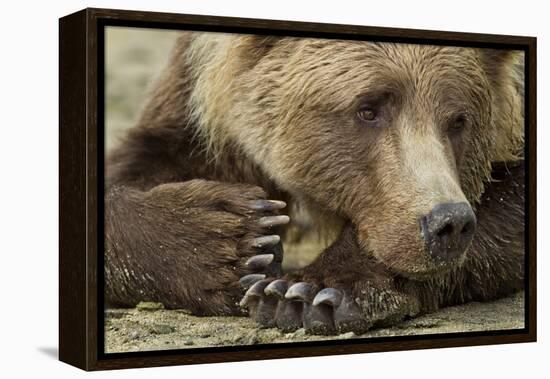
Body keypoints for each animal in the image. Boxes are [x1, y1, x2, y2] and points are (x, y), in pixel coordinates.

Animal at [106, 32, 528, 336]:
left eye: (458, 120)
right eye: (368, 109)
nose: (448, 223)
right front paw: (234, 239)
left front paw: (307, 293)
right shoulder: (194, 100)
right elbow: (140, 163)